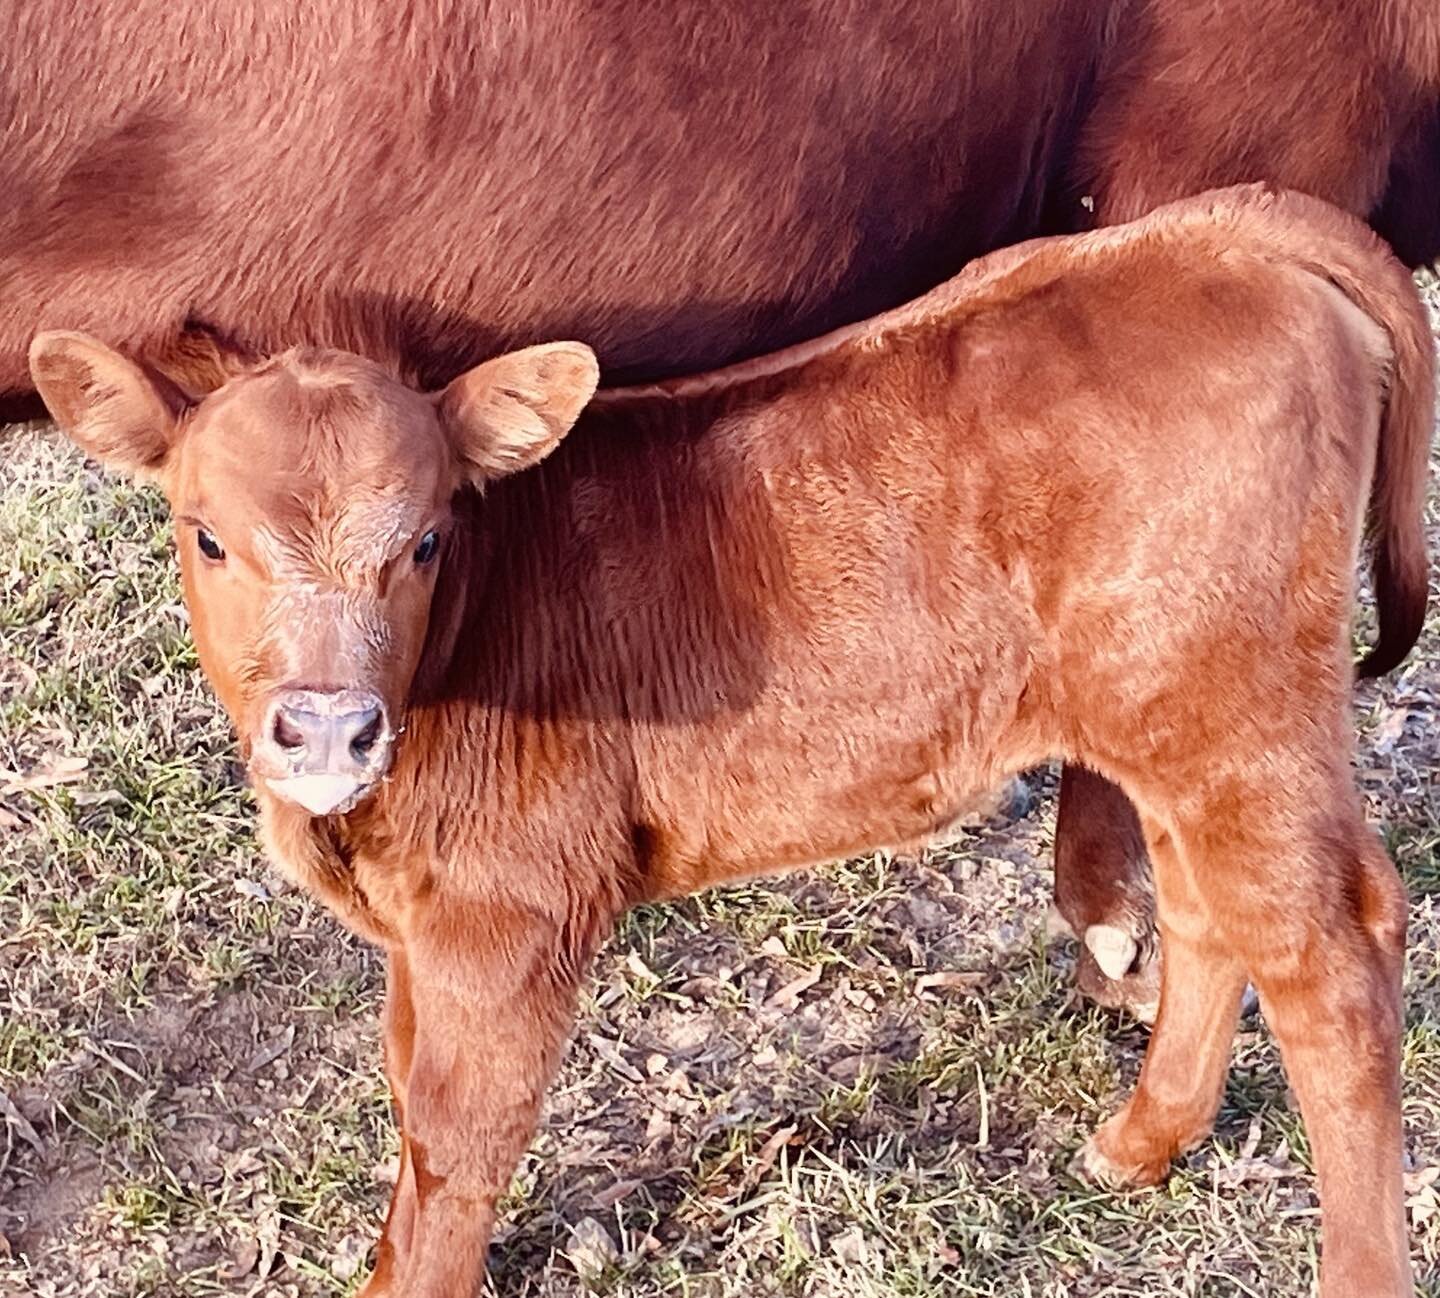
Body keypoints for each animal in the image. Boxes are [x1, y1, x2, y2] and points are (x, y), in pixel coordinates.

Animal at [28, 184, 1434, 1296]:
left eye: (425, 538)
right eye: (207, 533)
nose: (327, 725)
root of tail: (1217, 232)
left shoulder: (509, 906)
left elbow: (454, 1138)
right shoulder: (425, 923)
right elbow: (404, 1087)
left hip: (1240, 709)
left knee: (1333, 950)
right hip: (1173, 718)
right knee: (1211, 911)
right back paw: (1139, 1140)